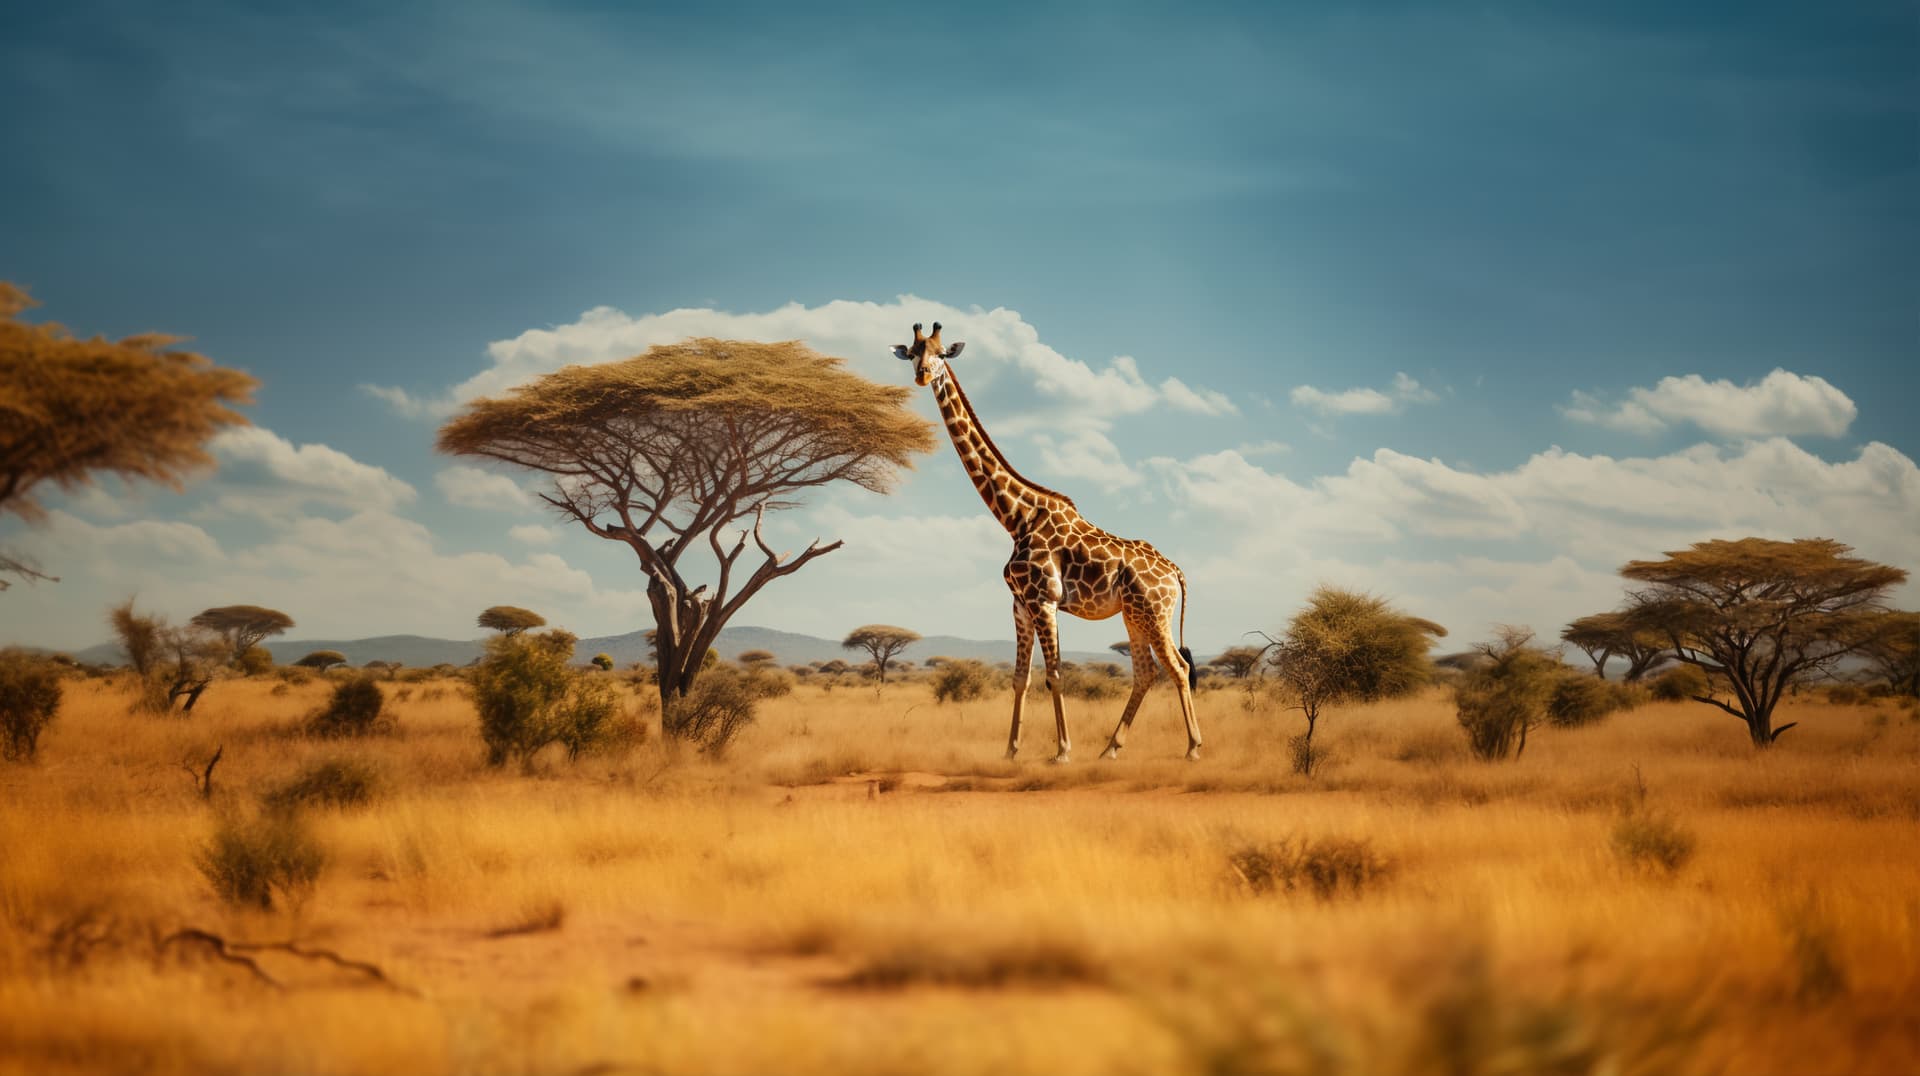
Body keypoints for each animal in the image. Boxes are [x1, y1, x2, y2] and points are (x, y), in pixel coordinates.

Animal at [893, 322, 1202, 763]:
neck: (1015, 517)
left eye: (941, 354)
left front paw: (1061, 752)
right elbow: (1020, 678)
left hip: (1155, 612)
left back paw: (1192, 748)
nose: (922, 375)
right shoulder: (1020, 603)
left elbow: (1055, 675)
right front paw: (1010, 751)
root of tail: (1175, 571)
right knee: (1146, 672)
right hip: (1134, 614)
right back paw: (1110, 749)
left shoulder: (1044, 599)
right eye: (914, 353)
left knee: (1178, 667)